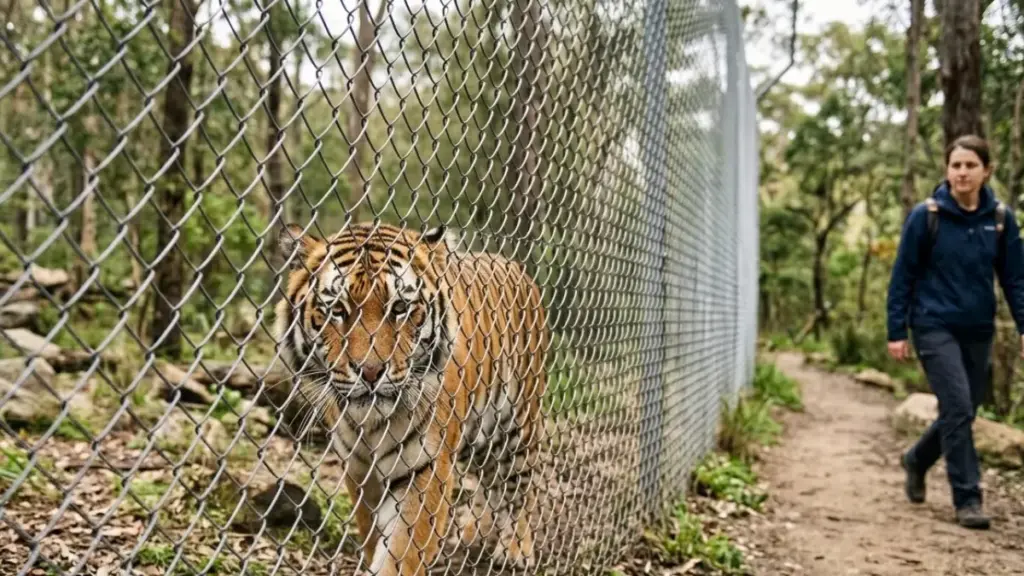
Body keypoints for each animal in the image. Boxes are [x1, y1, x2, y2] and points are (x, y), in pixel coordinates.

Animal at [273, 221, 549, 576]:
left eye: (400, 308)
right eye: (337, 310)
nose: (371, 371)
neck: (370, 423)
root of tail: (510, 262)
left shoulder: (426, 467)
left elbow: (402, 551)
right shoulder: (358, 470)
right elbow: (371, 534)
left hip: (517, 422)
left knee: (521, 485)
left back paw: (516, 549)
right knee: (489, 482)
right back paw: (473, 531)